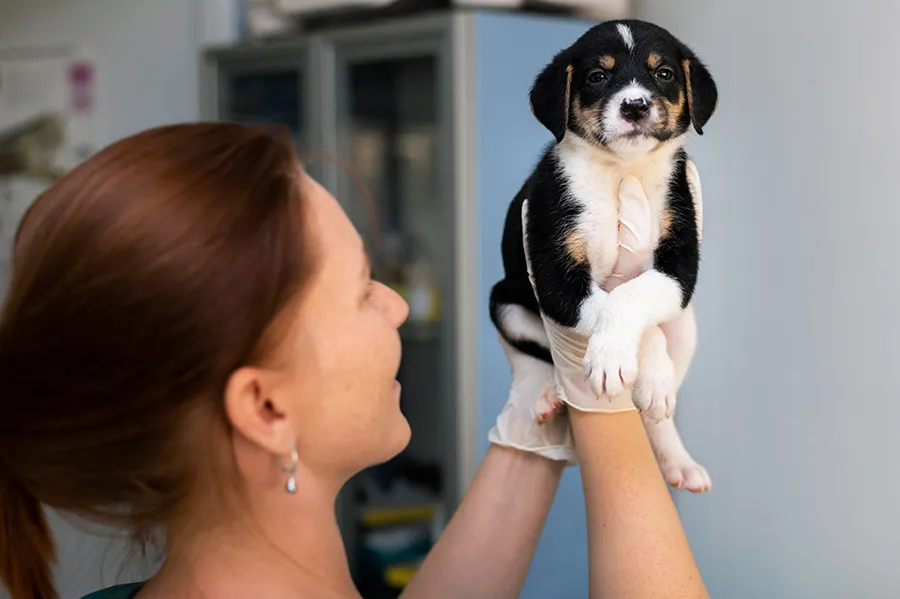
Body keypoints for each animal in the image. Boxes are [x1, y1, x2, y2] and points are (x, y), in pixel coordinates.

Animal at [492, 21, 716, 494]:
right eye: (598, 76)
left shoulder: (678, 268)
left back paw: (677, 459)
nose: (635, 105)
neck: (620, 172)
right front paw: (616, 360)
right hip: (505, 303)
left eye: (664, 74)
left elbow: (632, 297)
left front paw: (647, 377)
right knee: (533, 357)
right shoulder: (555, 276)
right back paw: (546, 395)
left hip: (687, 326)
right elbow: (616, 303)